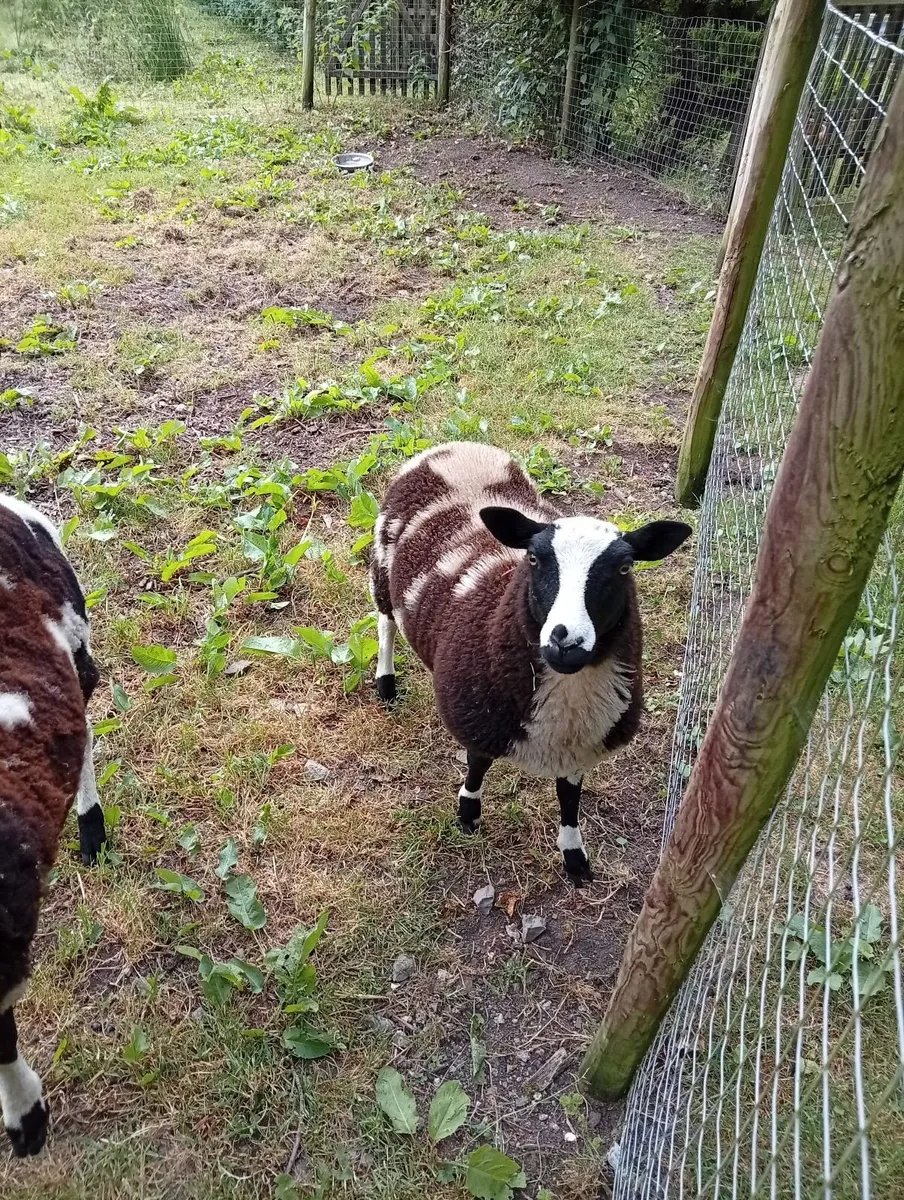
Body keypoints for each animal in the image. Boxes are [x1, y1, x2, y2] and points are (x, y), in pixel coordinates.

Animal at [370, 442, 691, 886]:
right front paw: (468, 814)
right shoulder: (481, 721)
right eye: (535, 560)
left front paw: (574, 857)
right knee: (385, 623)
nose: (565, 640)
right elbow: (477, 765)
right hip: (382, 564)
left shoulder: (582, 743)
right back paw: (386, 683)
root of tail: (457, 447)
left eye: (625, 567)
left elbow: (569, 797)